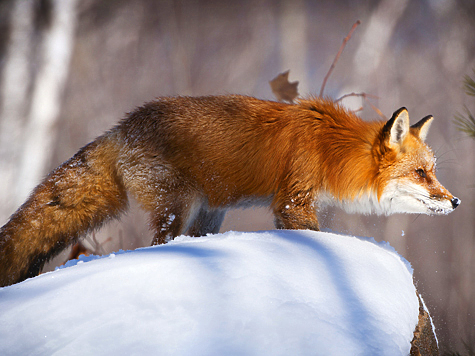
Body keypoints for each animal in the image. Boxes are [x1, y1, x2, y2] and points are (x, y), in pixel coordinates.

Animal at [0, 95, 462, 286]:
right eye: (422, 173)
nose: (456, 200)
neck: (331, 149)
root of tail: (121, 127)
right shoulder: (293, 201)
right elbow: (313, 237)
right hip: (177, 206)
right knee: (158, 244)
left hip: (208, 211)